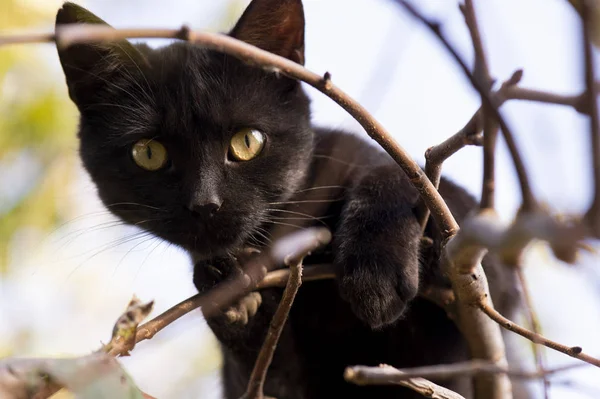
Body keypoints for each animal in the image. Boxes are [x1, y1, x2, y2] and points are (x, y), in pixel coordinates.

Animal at [55, 1, 524, 398]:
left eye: (247, 142)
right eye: (149, 153)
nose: (206, 203)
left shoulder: (486, 282)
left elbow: (394, 173)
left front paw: (375, 273)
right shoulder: (264, 385)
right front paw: (227, 289)